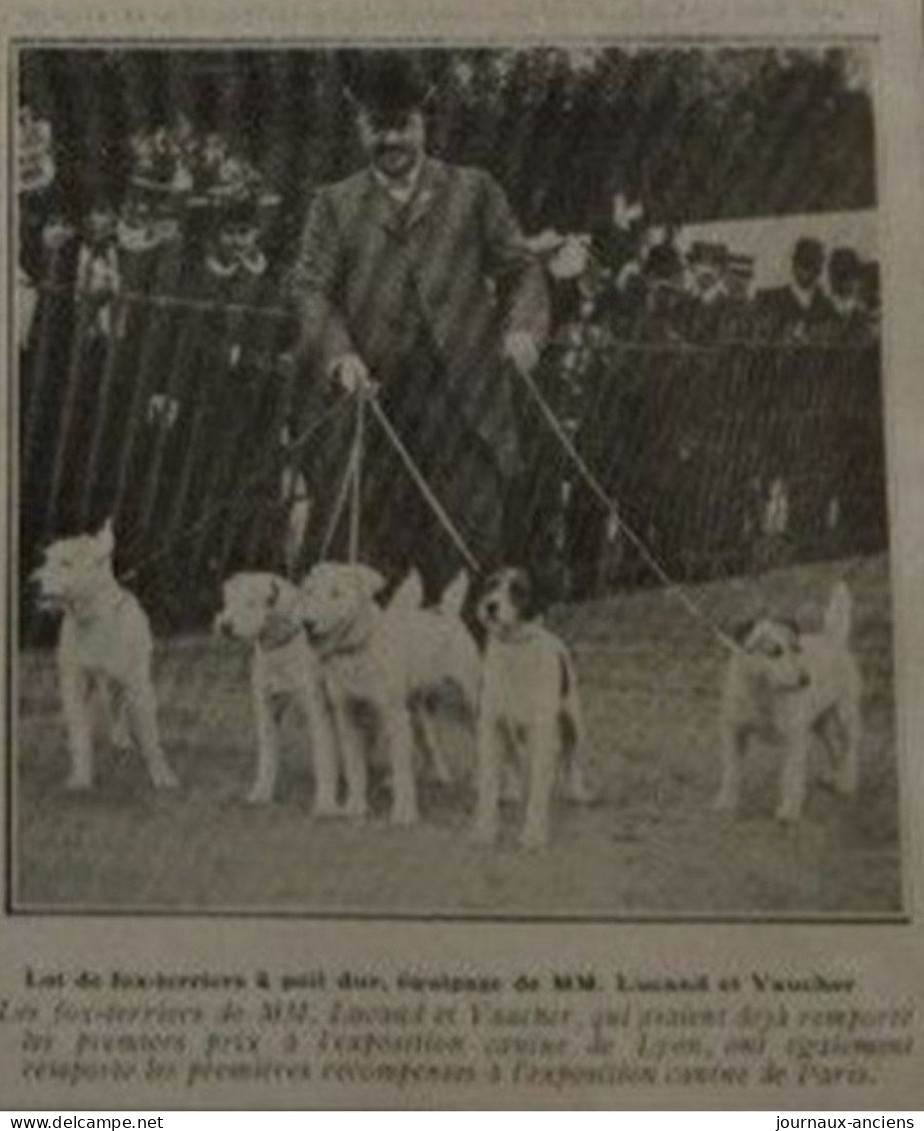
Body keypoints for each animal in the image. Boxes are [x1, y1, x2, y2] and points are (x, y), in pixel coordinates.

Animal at [30, 517, 177, 791]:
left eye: (66, 562)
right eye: (46, 559)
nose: (33, 581)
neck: (91, 618)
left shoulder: (138, 685)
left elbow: (150, 736)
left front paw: (162, 775)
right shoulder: (74, 685)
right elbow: (79, 733)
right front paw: (80, 777)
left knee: (122, 708)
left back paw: (123, 740)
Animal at [213, 574, 339, 814]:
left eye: (252, 602)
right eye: (227, 600)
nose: (225, 626)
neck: (279, 647)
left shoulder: (316, 710)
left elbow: (323, 757)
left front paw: (325, 804)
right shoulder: (267, 708)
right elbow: (267, 755)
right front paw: (261, 794)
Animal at [298, 563, 479, 823]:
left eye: (336, 594)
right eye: (310, 592)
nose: (307, 624)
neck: (357, 650)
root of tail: (447, 612)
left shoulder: (393, 715)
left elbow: (401, 766)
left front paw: (404, 813)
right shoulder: (346, 716)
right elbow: (354, 766)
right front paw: (355, 806)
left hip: (468, 703)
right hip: (416, 710)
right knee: (429, 743)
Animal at [472, 565, 592, 850]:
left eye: (518, 590)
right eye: (490, 585)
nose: (490, 606)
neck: (514, 649)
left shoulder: (542, 734)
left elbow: (538, 790)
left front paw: (533, 836)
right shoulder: (491, 727)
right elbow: (488, 786)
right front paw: (485, 830)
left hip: (574, 723)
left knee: (572, 759)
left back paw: (577, 791)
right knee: (513, 759)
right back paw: (513, 790)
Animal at [714, 583, 859, 823]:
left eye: (797, 648)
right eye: (774, 651)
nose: (805, 679)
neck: (762, 693)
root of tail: (832, 638)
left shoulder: (794, 737)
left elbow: (791, 775)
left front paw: (789, 810)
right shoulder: (734, 732)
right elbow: (731, 770)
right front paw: (726, 802)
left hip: (844, 716)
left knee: (849, 747)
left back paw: (846, 781)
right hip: (818, 722)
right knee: (831, 745)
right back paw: (831, 774)